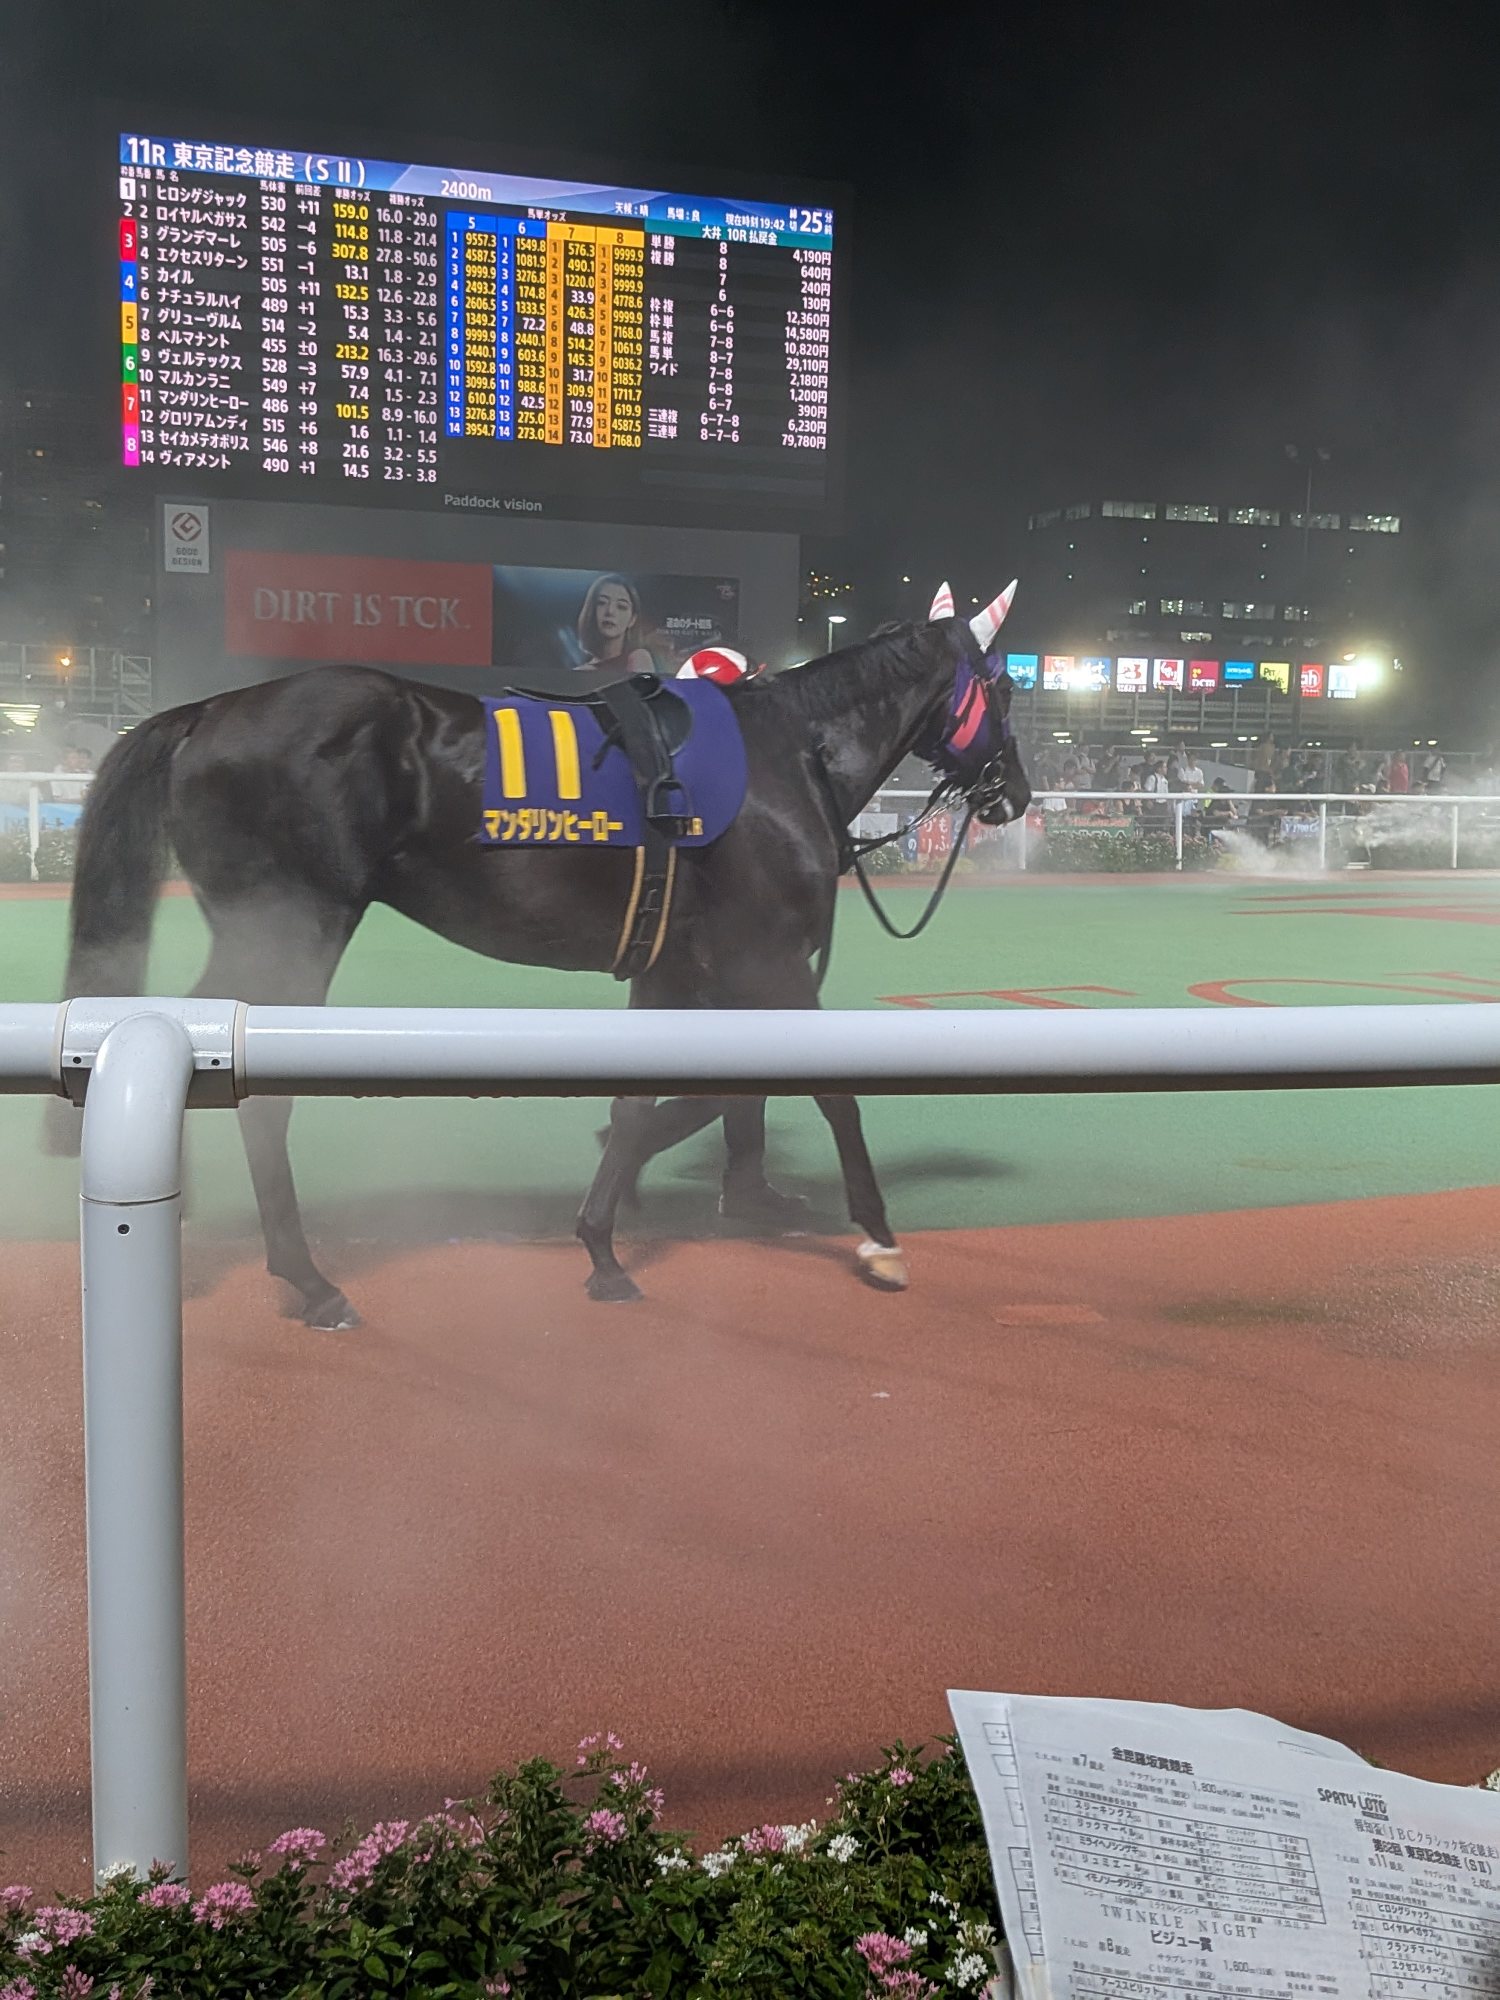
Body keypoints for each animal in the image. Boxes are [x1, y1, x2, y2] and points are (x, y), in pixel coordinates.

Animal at [45, 592, 1030, 1325]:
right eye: (1005, 692)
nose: (1015, 793)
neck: (785, 760)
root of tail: (208, 710)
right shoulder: (770, 958)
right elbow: (831, 1090)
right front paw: (879, 1237)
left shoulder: (675, 967)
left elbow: (646, 1103)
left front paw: (603, 1243)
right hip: (293, 926)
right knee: (260, 1094)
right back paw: (309, 1278)